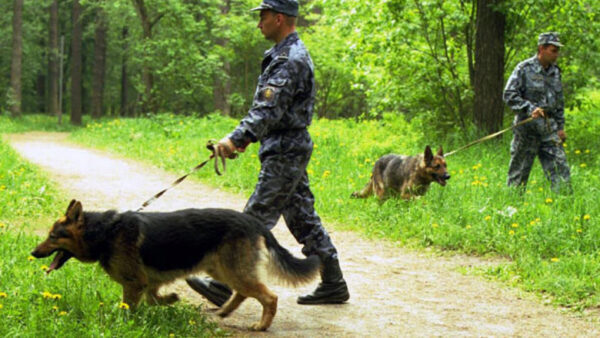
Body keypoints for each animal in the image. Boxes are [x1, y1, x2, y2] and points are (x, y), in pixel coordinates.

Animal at [30, 199, 322, 332]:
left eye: (53, 236)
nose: (32, 253)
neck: (103, 232)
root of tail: (253, 221)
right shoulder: (147, 283)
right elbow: (153, 299)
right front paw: (171, 299)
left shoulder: (134, 284)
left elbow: (130, 308)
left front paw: (125, 325)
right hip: (221, 269)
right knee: (243, 292)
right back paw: (225, 311)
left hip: (233, 270)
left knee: (269, 296)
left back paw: (261, 326)